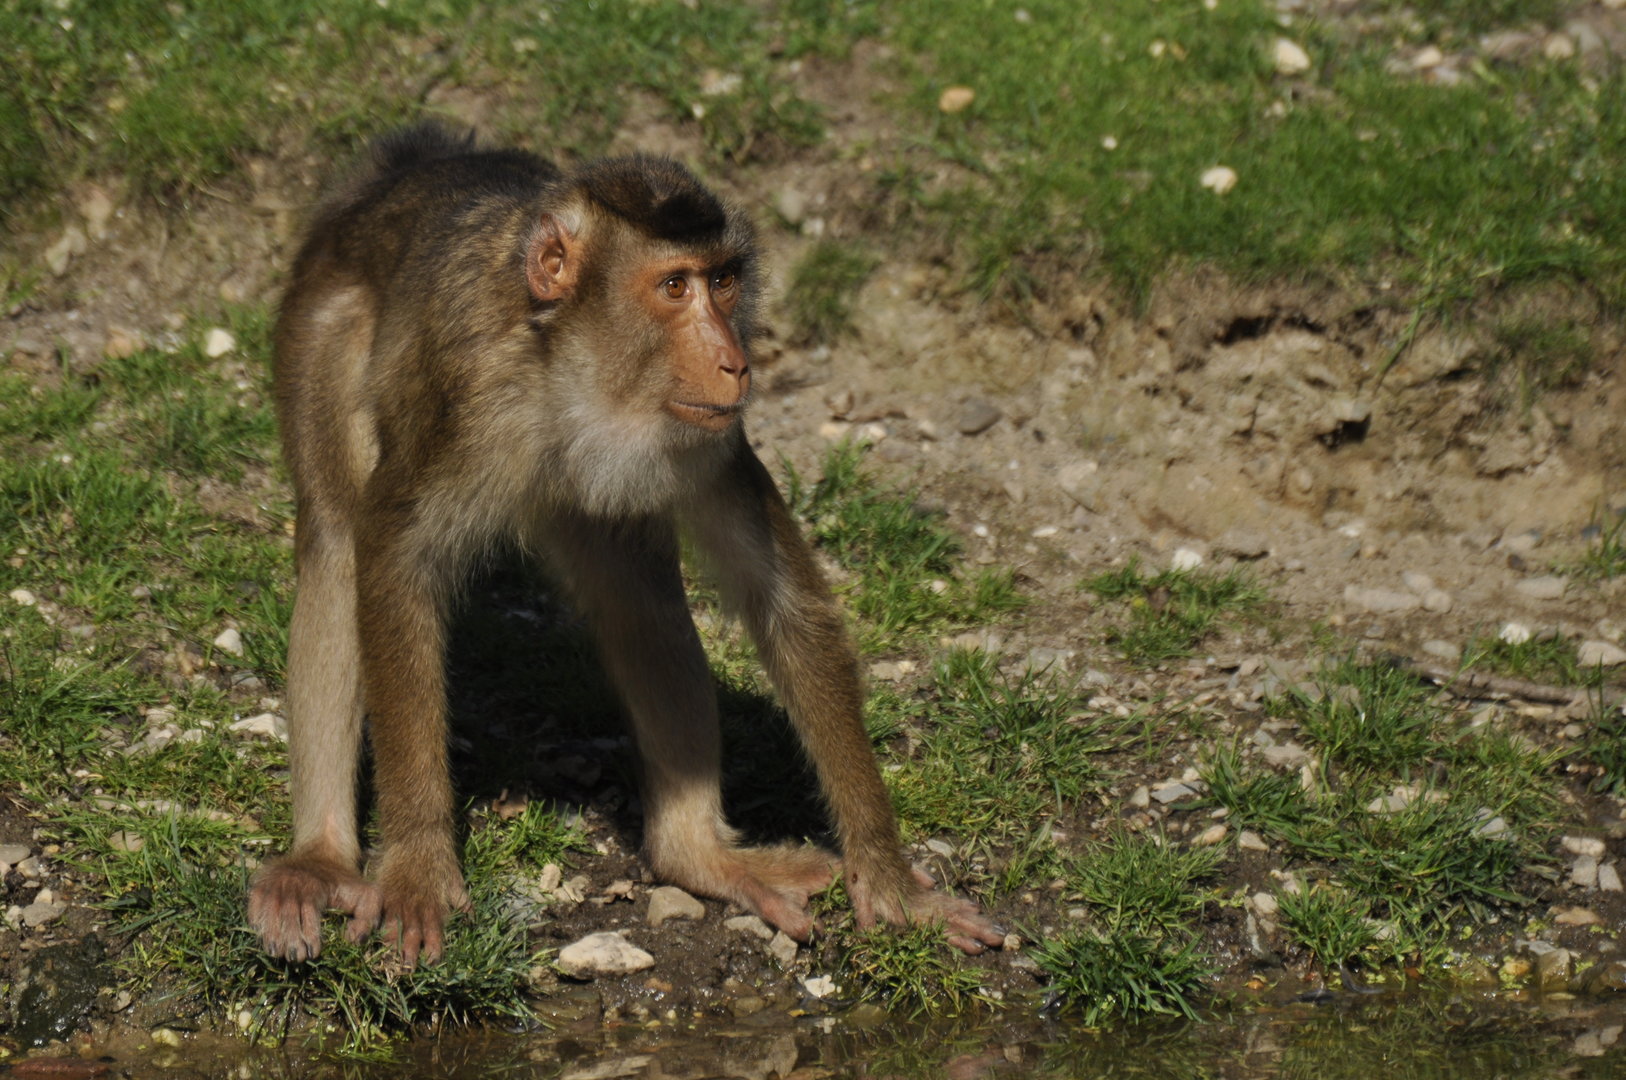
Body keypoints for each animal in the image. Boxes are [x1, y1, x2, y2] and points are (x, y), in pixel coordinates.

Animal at [245, 124, 1004, 966]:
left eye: (724, 281)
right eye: (673, 287)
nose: (736, 361)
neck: (573, 371)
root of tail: (402, 172)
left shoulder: (707, 433)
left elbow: (781, 601)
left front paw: (891, 878)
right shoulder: (471, 390)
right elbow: (388, 558)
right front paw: (415, 867)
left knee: (640, 600)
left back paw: (695, 855)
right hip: (322, 320)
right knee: (335, 539)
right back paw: (317, 859)